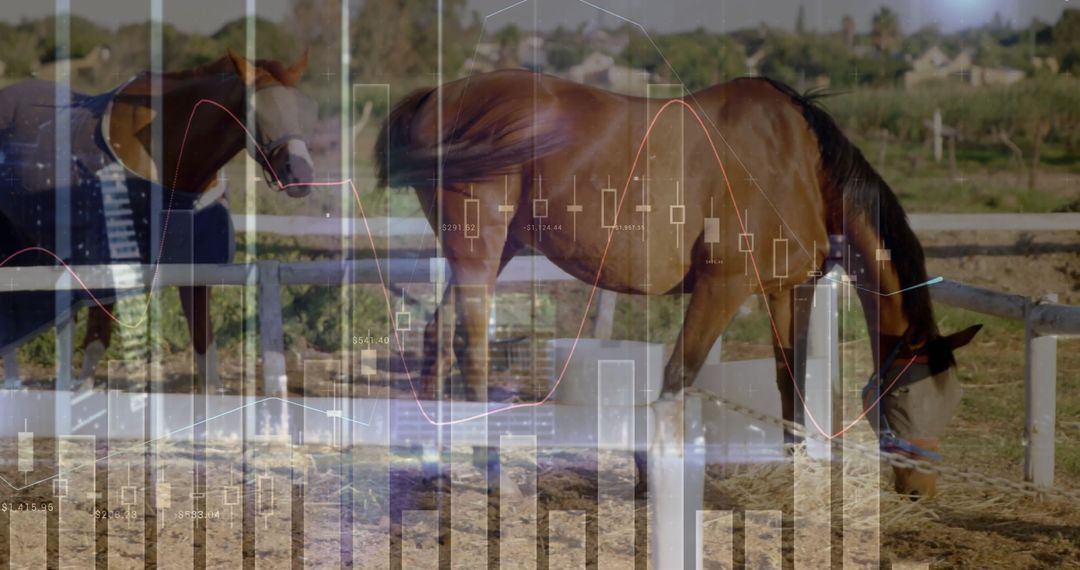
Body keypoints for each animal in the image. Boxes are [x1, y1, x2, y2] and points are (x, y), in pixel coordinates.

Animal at [0, 49, 318, 391]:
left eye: (301, 109)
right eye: (256, 111)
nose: (301, 174)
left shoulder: (198, 267)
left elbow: (205, 350)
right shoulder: (106, 265)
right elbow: (97, 341)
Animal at [375, 70, 982, 498]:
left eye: (952, 402)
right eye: (902, 398)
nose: (921, 488)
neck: (797, 165)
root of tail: (435, 97)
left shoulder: (786, 290)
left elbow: (790, 379)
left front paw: (790, 470)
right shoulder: (723, 287)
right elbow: (677, 378)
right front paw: (651, 474)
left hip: (492, 252)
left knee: (437, 339)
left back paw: (432, 466)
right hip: (480, 250)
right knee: (471, 349)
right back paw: (490, 470)